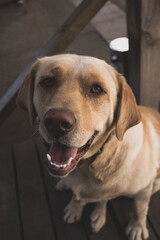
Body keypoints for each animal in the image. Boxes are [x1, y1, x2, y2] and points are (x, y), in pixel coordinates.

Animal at [16, 54, 160, 240]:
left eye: (96, 89)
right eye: (48, 81)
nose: (57, 122)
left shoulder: (142, 191)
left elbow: (139, 210)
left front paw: (137, 226)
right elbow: (79, 196)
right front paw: (75, 207)